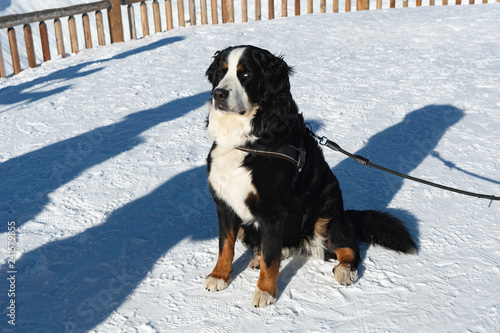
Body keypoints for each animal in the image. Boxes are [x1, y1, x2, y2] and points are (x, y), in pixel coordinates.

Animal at [203, 45, 418, 308]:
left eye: (245, 75)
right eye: (221, 73)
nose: (219, 94)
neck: (248, 137)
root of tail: (345, 213)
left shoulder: (273, 211)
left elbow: (270, 257)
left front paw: (265, 291)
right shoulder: (224, 203)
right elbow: (225, 246)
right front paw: (219, 276)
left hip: (325, 214)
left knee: (348, 247)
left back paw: (345, 270)